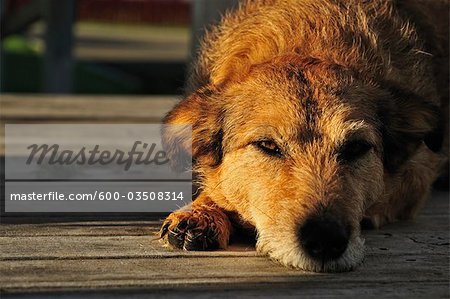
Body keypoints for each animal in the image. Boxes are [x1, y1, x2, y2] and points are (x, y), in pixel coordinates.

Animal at [158, 0, 446, 274]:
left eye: (356, 147)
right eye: (267, 145)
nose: (325, 240)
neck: (310, 37)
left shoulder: (418, 174)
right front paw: (202, 212)